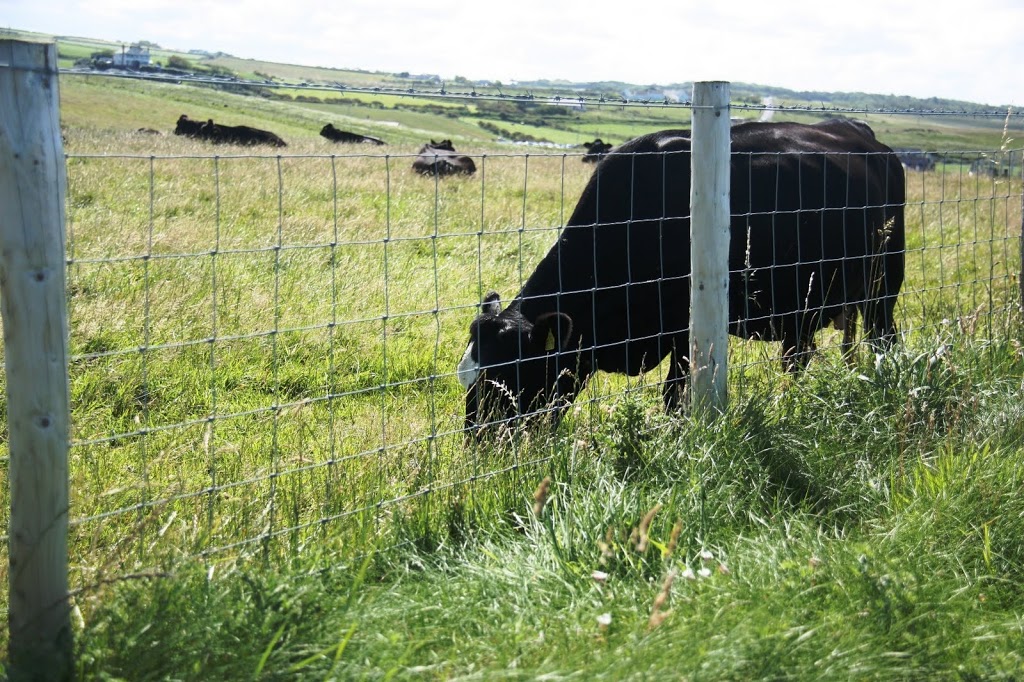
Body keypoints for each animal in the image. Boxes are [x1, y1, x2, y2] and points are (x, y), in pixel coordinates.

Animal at [460, 118, 909, 430]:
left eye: (507, 379)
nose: (479, 446)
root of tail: (863, 133)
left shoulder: (682, 329)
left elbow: (674, 397)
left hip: (883, 284)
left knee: (882, 339)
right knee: (801, 354)